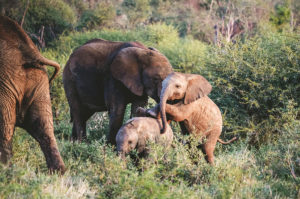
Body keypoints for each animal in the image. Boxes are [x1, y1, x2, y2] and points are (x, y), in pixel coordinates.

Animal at [0, 15, 65, 173]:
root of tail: (29, 52)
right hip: (39, 82)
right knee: (45, 128)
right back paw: (58, 174)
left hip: (5, 84)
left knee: (5, 128)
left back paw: (5, 171)